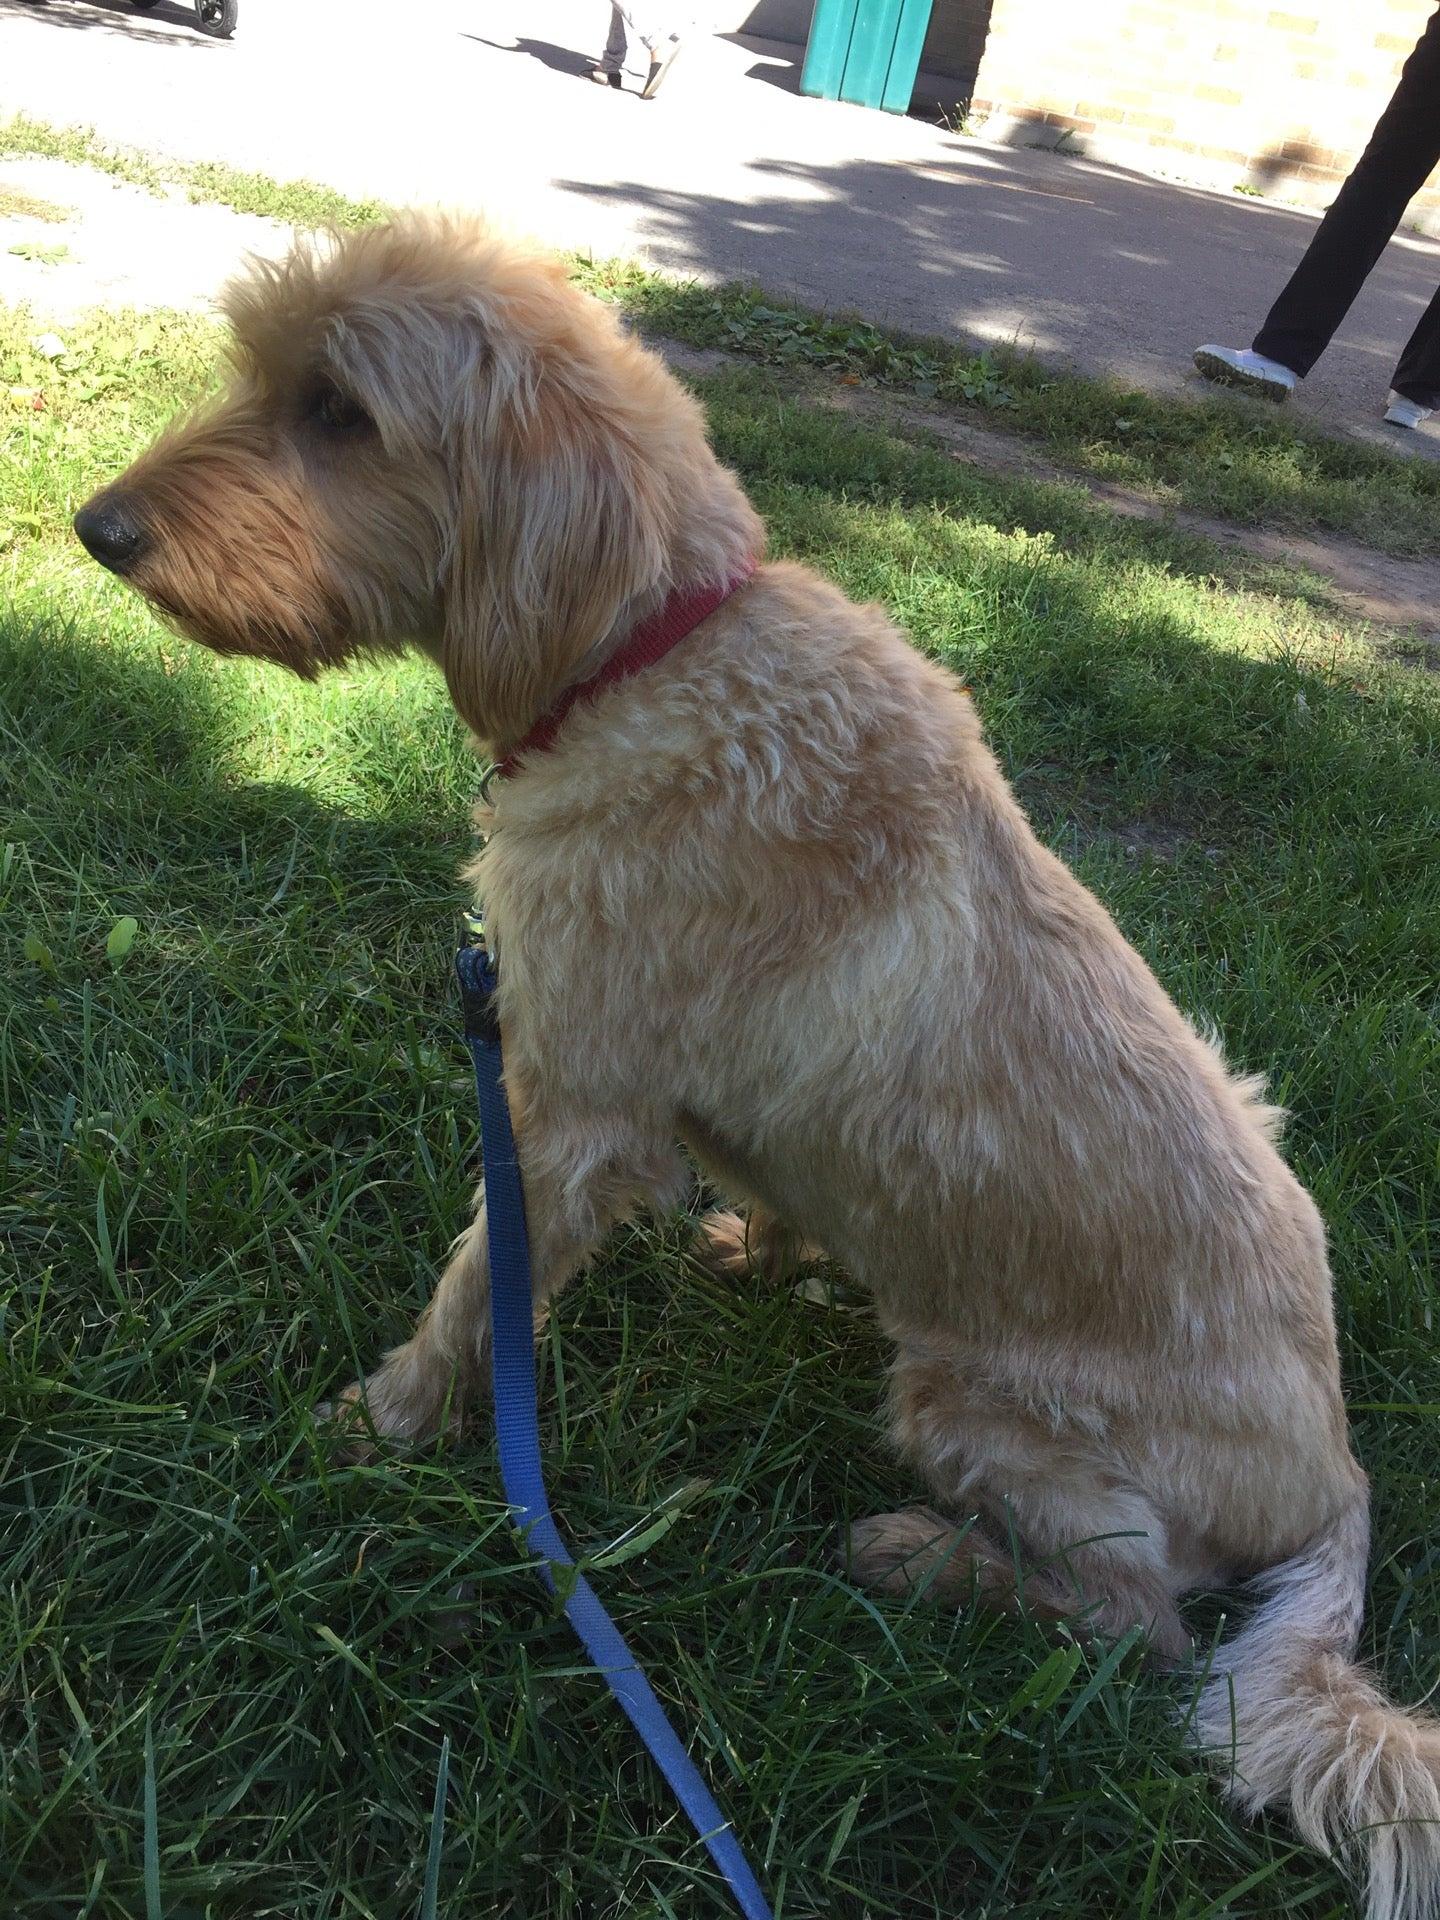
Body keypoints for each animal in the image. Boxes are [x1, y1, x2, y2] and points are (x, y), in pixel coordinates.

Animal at [76, 217, 1440, 1912]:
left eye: (340, 413)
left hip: (978, 1403)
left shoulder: (568, 1113)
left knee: (1140, 1623)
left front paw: (382, 1428)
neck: (649, 653)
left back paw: (927, 1557)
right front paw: (758, 1247)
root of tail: (1337, 1478)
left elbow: (473, 1295)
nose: (96, 529)